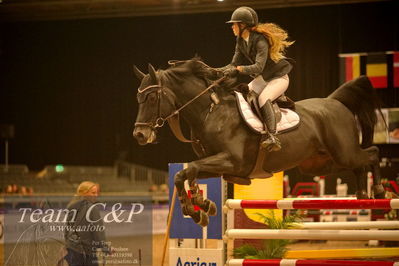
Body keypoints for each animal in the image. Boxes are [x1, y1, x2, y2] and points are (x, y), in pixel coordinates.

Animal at [133, 58, 386, 227]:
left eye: (152, 97)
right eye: (138, 98)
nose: (140, 135)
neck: (210, 113)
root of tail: (335, 102)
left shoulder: (232, 162)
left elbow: (190, 169)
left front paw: (196, 208)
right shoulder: (217, 164)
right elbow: (183, 173)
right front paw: (200, 207)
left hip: (344, 152)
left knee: (372, 154)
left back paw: (379, 191)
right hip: (321, 163)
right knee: (359, 165)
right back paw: (363, 197)